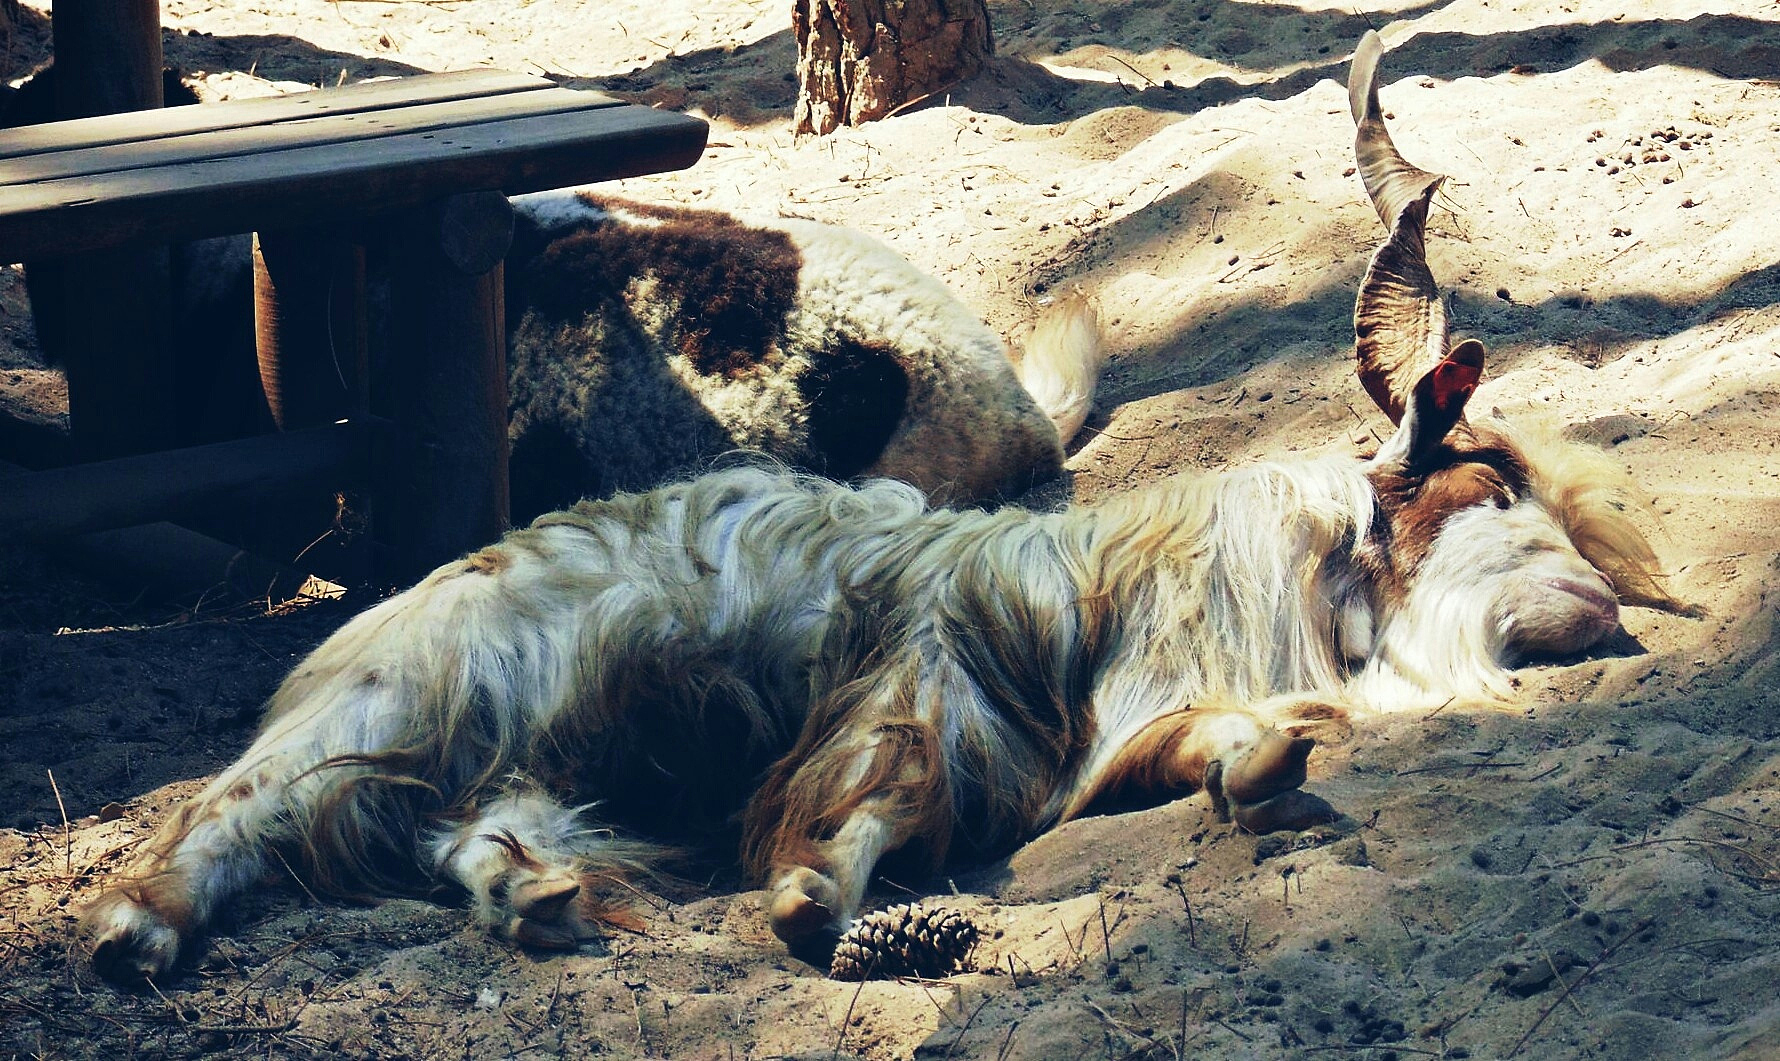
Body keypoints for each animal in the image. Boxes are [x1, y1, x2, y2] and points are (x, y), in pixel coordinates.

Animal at [80, 33, 1682, 984]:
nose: (1602, 615)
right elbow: (866, 809)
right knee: (233, 813)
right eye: (1482, 479)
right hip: (404, 705)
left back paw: (539, 897)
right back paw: (129, 933)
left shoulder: (1080, 738)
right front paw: (811, 906)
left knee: (455, 830)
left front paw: (1267, 771)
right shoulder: (919, 690)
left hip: (503, 758)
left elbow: (1224, 752)